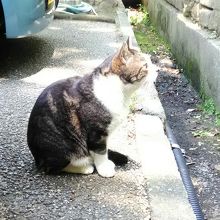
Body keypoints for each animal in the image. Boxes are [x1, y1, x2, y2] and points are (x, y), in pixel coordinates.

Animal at [27, 38, 148, 178]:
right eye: (145, 66)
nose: (154, 68)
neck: (121, 93)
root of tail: (37, 159)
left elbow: (105, 149)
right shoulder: (97, 133)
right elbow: (100, 152)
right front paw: (103, 168)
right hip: (61, 148)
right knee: (52, 168)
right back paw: (85, 167)